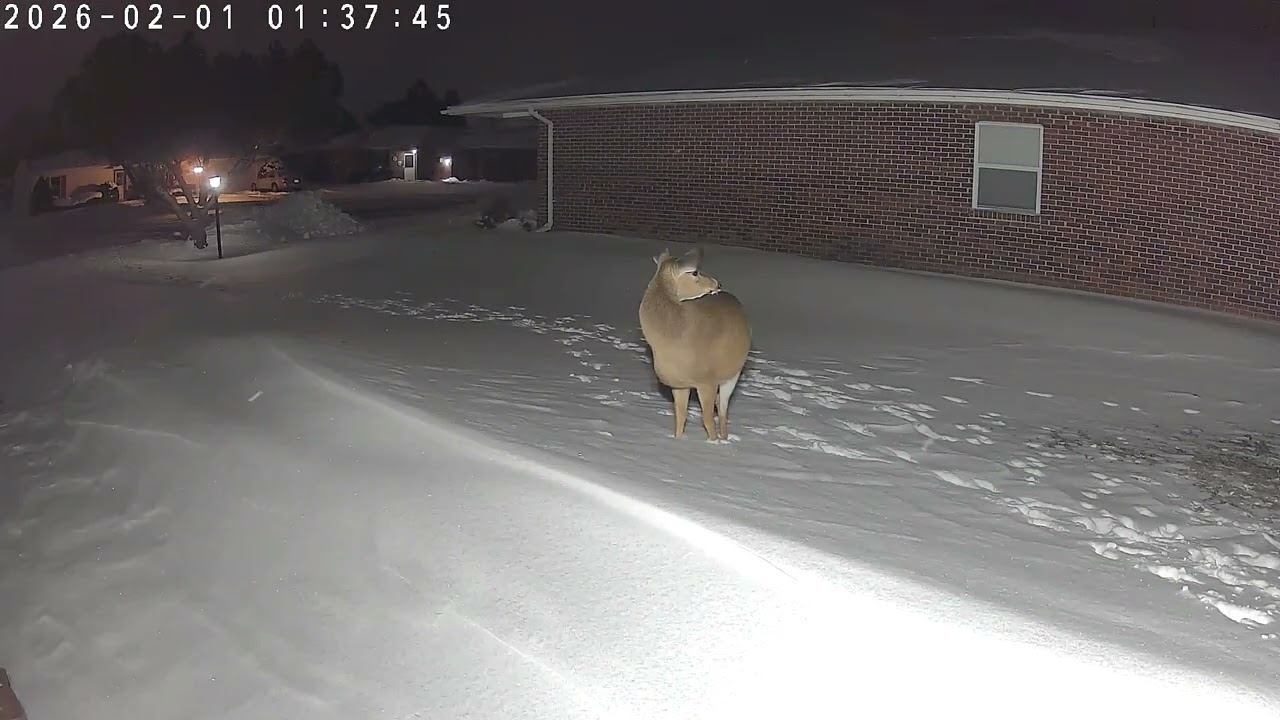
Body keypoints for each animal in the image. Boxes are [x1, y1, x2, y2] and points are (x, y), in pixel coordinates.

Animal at [639, 246, 752, 442]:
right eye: (695, 272)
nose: (718, 283)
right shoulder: (678, 384)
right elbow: (680, 415)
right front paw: (678, 440)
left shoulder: (708, 380)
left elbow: (706, 418)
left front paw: (713, 442)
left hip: (733, 372)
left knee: (723, 408)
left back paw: (725, 438)